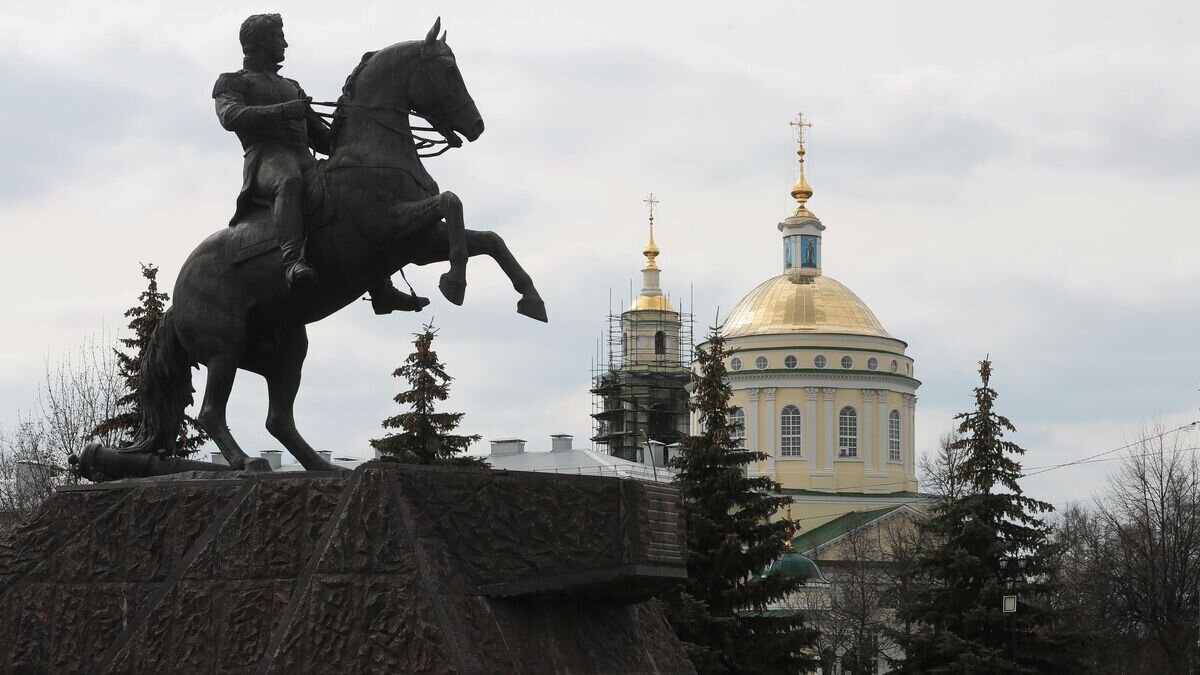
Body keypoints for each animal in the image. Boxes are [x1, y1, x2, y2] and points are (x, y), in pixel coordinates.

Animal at [120, 15, 544, 468]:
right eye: (448, 69)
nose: (477, 125)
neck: (374, 153)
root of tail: (175, 300)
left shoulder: (420, 243)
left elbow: (489, 238)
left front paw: (530, 299)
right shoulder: (394, 229)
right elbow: (452, 201)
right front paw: (456, 283)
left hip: (288, 348)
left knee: (278, 419)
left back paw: (320, 465)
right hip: (225, 349)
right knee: (212, 412)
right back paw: (247, 461)